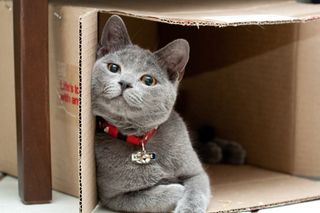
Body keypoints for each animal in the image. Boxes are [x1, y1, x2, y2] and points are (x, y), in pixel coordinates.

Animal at [91, 15, 211, 212]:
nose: (125, 83)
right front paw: (177, 188)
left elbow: (195, 190)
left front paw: (187, 207)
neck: (140, 140)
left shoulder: (196, 173)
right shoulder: (113, 198)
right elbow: (148, 197)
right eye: (113, 68)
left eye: (148, 80)